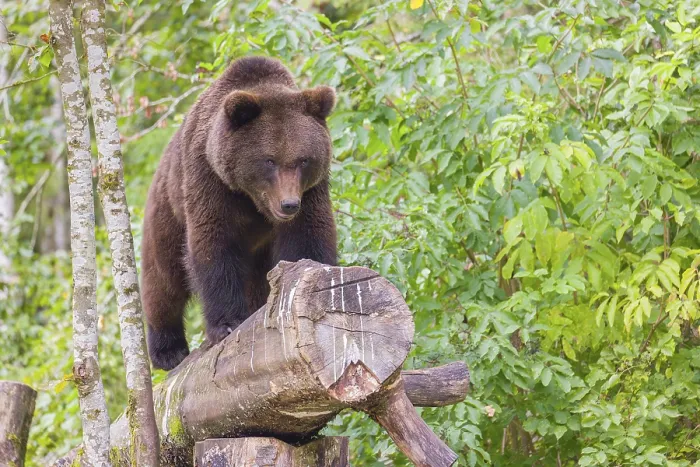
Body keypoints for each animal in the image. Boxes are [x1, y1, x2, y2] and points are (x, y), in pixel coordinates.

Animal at [141, 56, 338, 371]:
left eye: (303, 160)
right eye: (269, 160)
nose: (288, 204)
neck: (252, 199)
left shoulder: (312, 192)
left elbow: (309, 235)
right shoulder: (209, 180)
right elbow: (213, 245)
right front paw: (226, 323)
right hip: (166, 212)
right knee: (163, 279)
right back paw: (168, 350)